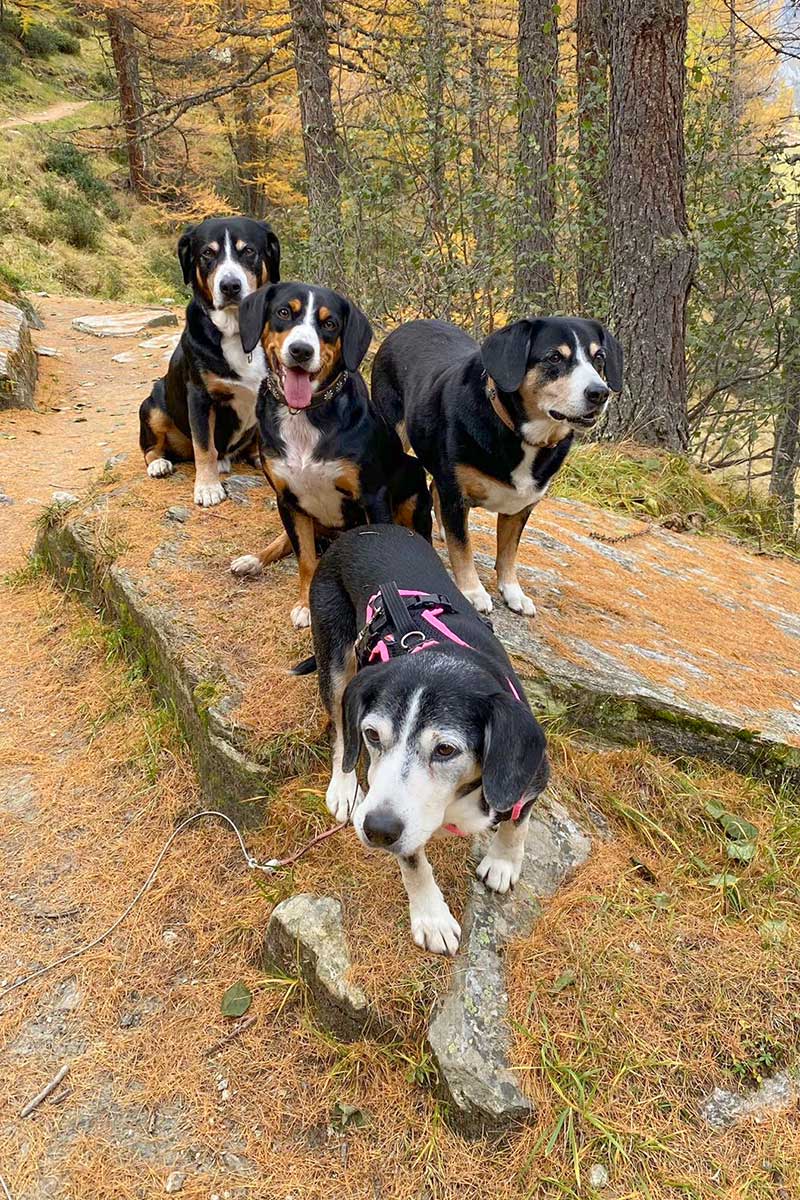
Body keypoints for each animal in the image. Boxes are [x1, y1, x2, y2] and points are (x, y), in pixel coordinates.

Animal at [140, 216, 281, 506]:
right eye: (207, 253)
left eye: (248, 250)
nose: (230, 286)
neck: (239, 333)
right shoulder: (200, 397)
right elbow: (204, 446)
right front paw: (207, 487)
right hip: (152, 405)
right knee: (152, 447)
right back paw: (159, 463)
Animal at [227, 286, 434, 633]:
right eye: (284, 312)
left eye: (330, 324)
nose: (301, 351)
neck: (304, 414)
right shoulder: (288, 500)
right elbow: (305, 558)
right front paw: (304, 604)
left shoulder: (373, 496)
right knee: (286, 541)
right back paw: (253, 559)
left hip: (414, 482)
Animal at [299, 525, 551, 955]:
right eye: (372, 735)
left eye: (446, 749)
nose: (377, 829)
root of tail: (363, 530)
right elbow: (413, 863)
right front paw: (432, 917)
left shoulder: (532, 773)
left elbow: (517, 821)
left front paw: (503, 862)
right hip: (335, 661)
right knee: (340, 732)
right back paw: (345, 787)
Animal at [371, 316, 623, 614]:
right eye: (554, 357)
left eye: (599, 358)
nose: (599, 393)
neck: (521, 435)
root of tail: (409, 325)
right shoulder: (456, 493)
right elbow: (462, 547)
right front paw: (472, 591)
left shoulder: (520, 507)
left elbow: (508, 552)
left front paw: (513, 591)